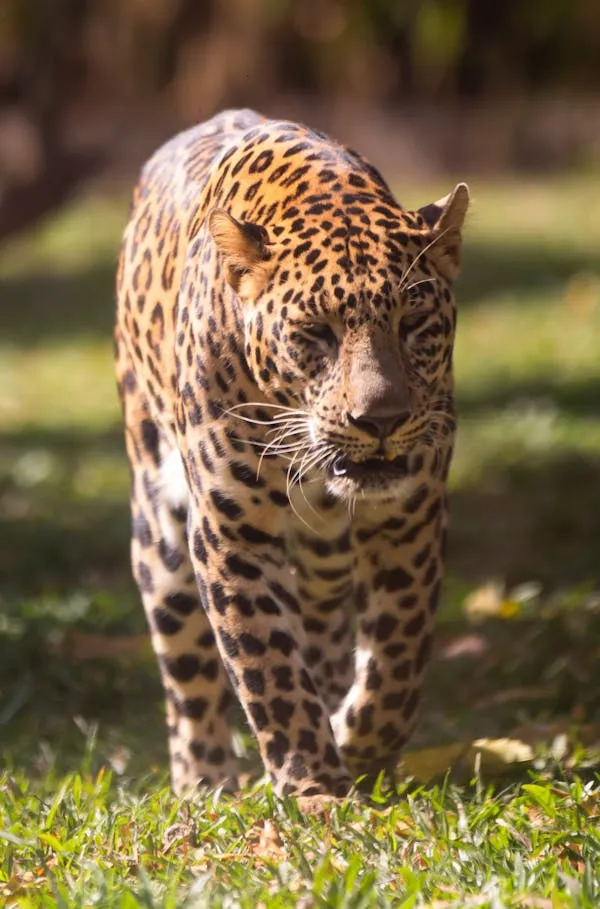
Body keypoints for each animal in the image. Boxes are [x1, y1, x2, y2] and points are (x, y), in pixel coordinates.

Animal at [115, 108, 469, 800]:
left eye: (414, 325)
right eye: (316, 334)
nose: (380, 420)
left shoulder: (410, 516)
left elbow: (397, 659)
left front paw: (359, 746)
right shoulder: (230, 531)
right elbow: (268, 668)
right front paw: (317, 788)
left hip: (327, 557)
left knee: (326, 627)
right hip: (159, 535)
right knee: (188, 678)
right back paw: (204, 782)